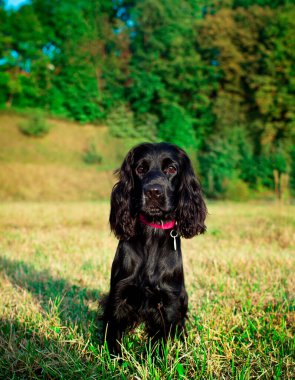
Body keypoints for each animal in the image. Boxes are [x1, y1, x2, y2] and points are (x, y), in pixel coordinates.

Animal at [103, 142, 207, 354]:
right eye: (140, 169)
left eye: (172, 169)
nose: (153, 192)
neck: (153, 231)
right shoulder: (119, 294)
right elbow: (114, 334)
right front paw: (113, 359)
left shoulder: (169, 301)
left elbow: (161, 340)